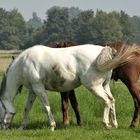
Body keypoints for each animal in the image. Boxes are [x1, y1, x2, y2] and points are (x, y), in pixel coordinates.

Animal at [0, 44, 138, 130]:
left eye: (1, 109)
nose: (2, 128)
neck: (24, 62)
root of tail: (103, 50)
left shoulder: (39, 89)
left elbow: (46, 107)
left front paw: (52, 126)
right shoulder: (33, 90)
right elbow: (27, 108)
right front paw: (21, 127)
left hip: (94, 87)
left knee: (107, 101)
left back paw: (106, 124)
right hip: (105, 86)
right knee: (112, 100)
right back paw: (114, 125)